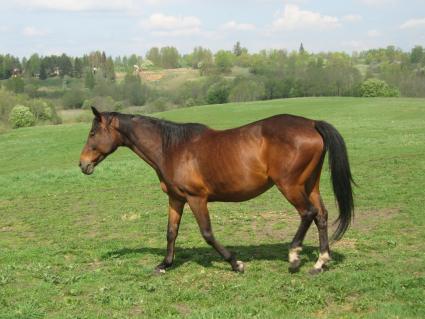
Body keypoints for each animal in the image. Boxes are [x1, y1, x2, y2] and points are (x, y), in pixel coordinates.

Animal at [79, 107, 354, 276]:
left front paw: (236, 263)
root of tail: (312, 124)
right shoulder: (176, 198)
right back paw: (320, 262)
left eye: (92, 132)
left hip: (290, 186)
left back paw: (295, 256)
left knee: (308, 213)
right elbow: (171, 232)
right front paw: (164, 265)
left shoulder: (196, 198)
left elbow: (207, 233)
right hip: (310, 184)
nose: (83, 164)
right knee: (321, 216)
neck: (172, 147)